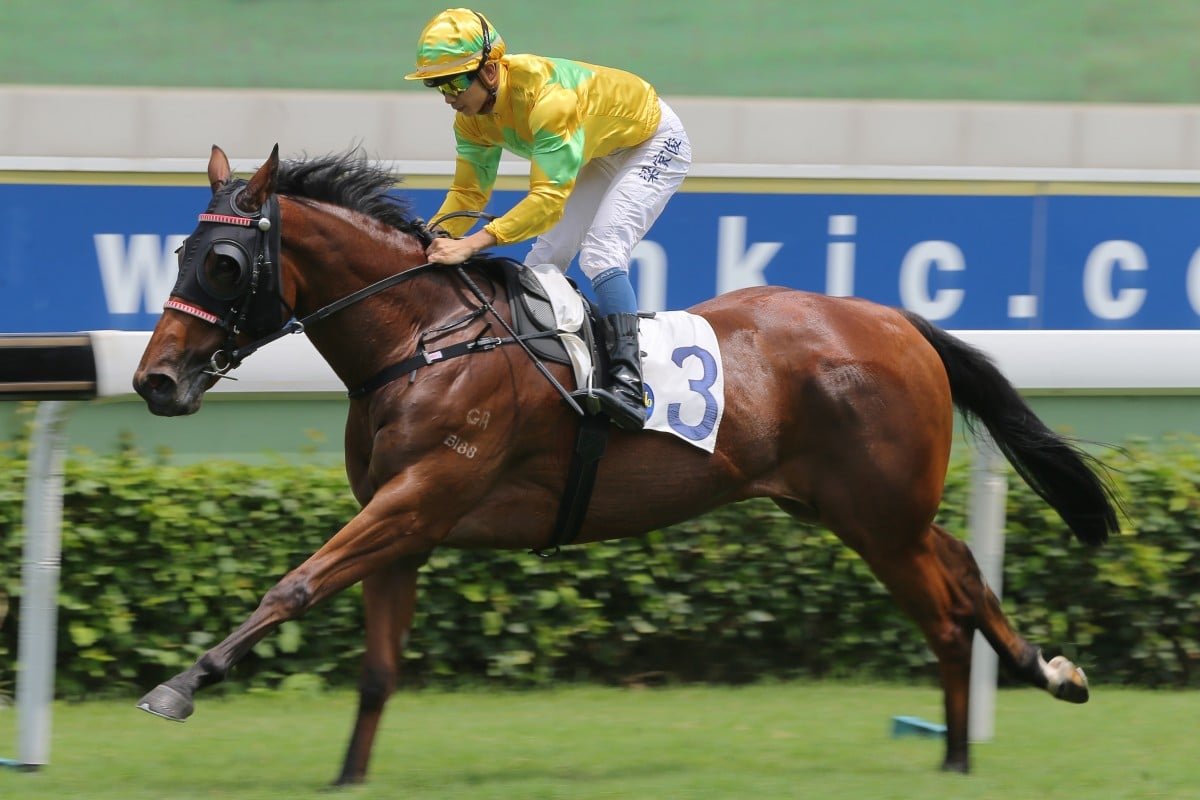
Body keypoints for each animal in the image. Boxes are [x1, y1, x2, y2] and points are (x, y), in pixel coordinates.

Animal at [136, 142, 1118, 782]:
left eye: (226, 264)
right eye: (181, 252)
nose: (154, 380)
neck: (421, 338)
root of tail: (898, 321)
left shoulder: (419, 498)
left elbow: (293, 586)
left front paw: (179, 686)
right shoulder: (402, 524)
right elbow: (377, 667)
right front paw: (347, 775)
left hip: (879, 513)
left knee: (946, 608)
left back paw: (968, 744)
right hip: (853, 508)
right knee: (962, 573)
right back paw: (1030, 688)